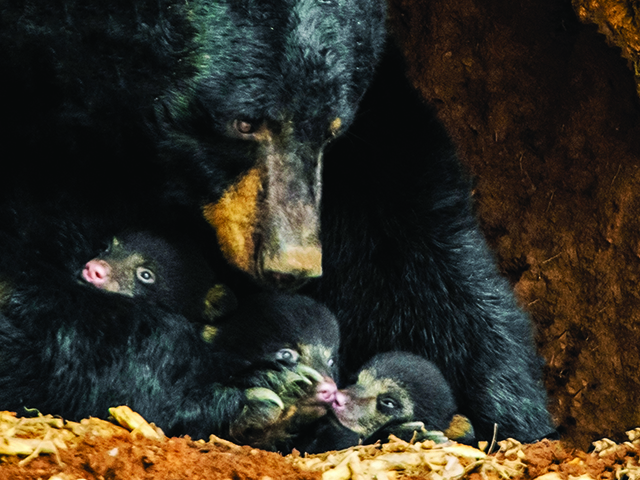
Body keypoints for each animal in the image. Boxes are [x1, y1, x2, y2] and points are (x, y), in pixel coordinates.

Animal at [0, 0, 554, 443]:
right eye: (243, 122)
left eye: (333, 129)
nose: (293, 266)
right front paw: (245, 394)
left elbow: (412, 229)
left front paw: (503, 406)